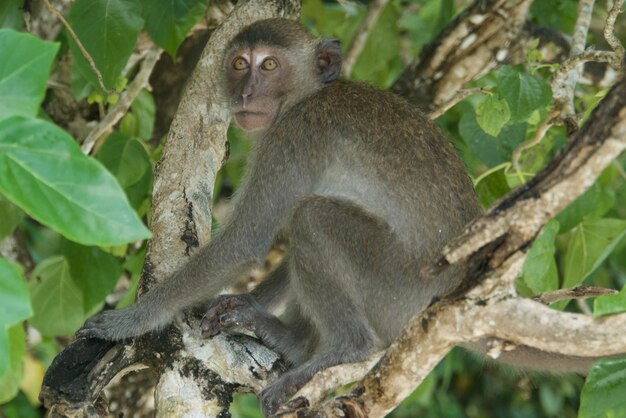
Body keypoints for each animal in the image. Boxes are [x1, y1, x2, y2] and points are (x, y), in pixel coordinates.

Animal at [75, 18, 592, 416]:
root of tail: (454, 290)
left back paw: (340, 348)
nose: (246, 91)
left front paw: (129, 322)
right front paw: (243, 303)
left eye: (269, 65)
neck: (305, 97)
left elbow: (246, 241)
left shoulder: (291, 138)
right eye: (240, 63)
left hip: (394, 287)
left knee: (313, 219)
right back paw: (292, 340)